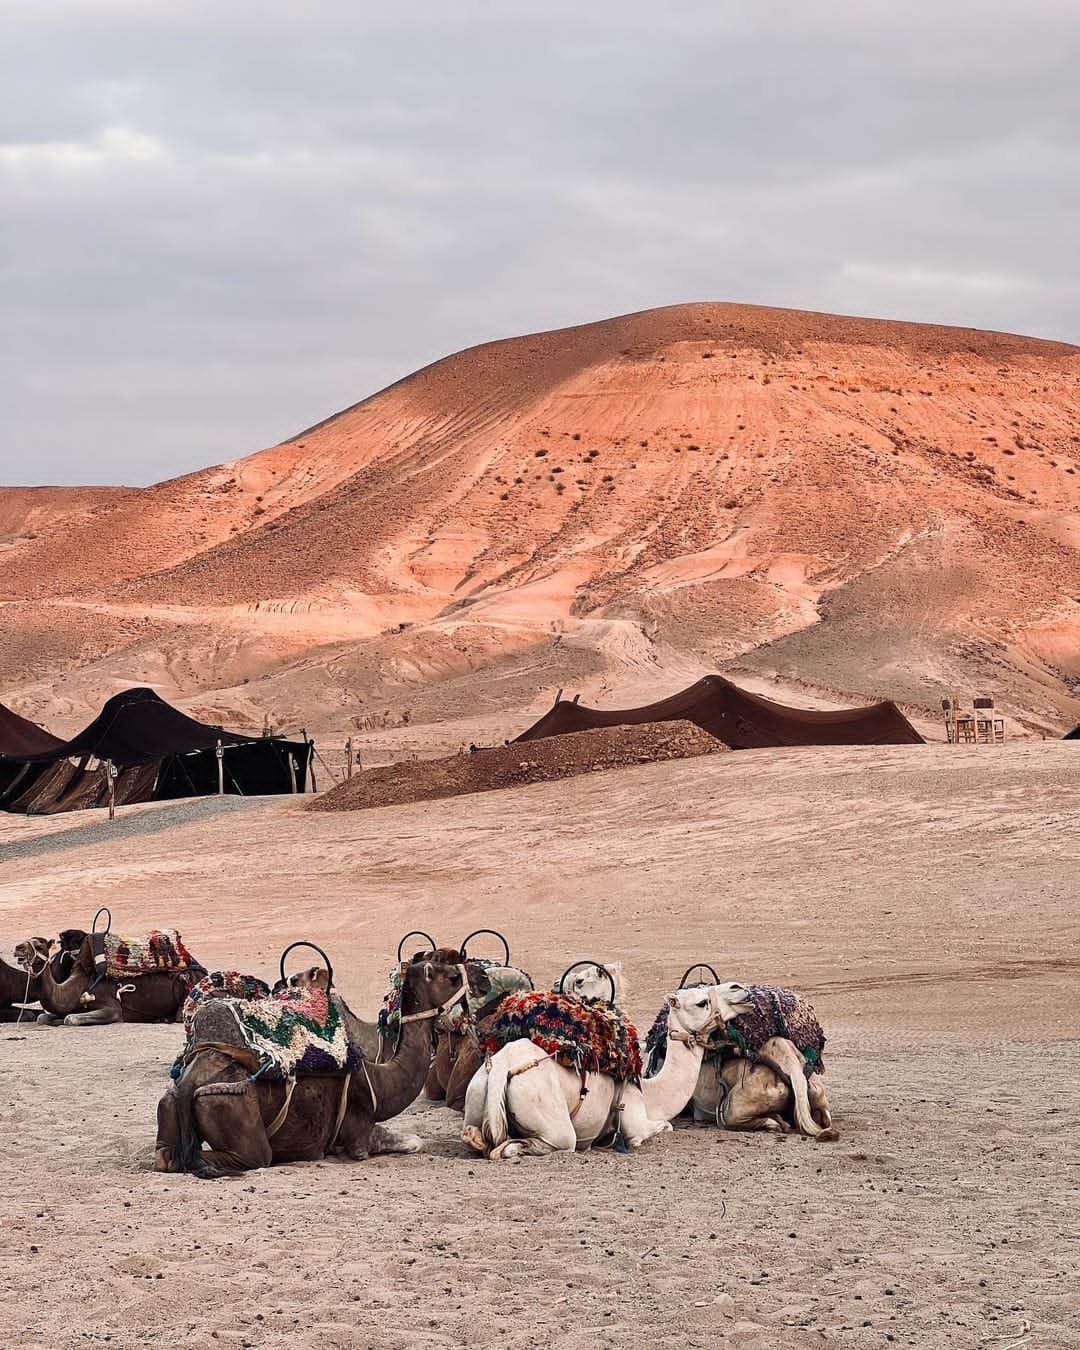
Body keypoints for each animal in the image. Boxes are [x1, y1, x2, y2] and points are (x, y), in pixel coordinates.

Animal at [153, 955, 472, 1177]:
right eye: (452, 976)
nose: (474, 975)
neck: (380, 1077)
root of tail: (188, 1082)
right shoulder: (358, 1133)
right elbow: (405, 1142)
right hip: (231, 1107)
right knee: (245, 1157)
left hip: (168, 1101)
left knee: (166, 1157)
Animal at [459, 982, 750, 1161]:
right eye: (701, 1002)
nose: (740, 989)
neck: (650, 1094)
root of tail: (501, 1068)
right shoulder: (634, 1122)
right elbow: (664, 1127)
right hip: (552, 1121)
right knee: (532, 1145)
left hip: (476, 1093)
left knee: (476, 1136)